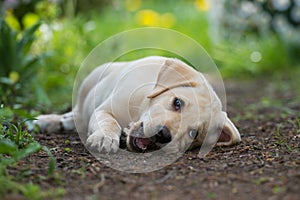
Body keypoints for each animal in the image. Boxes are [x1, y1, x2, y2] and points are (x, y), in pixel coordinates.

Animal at [35, 56, 241, 153]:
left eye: (194, 134)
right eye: (177, 103)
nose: (163, 135)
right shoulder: (104, 110)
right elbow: (109, 122)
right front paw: (104, 138)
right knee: (76, 113)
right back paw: (47, 121)